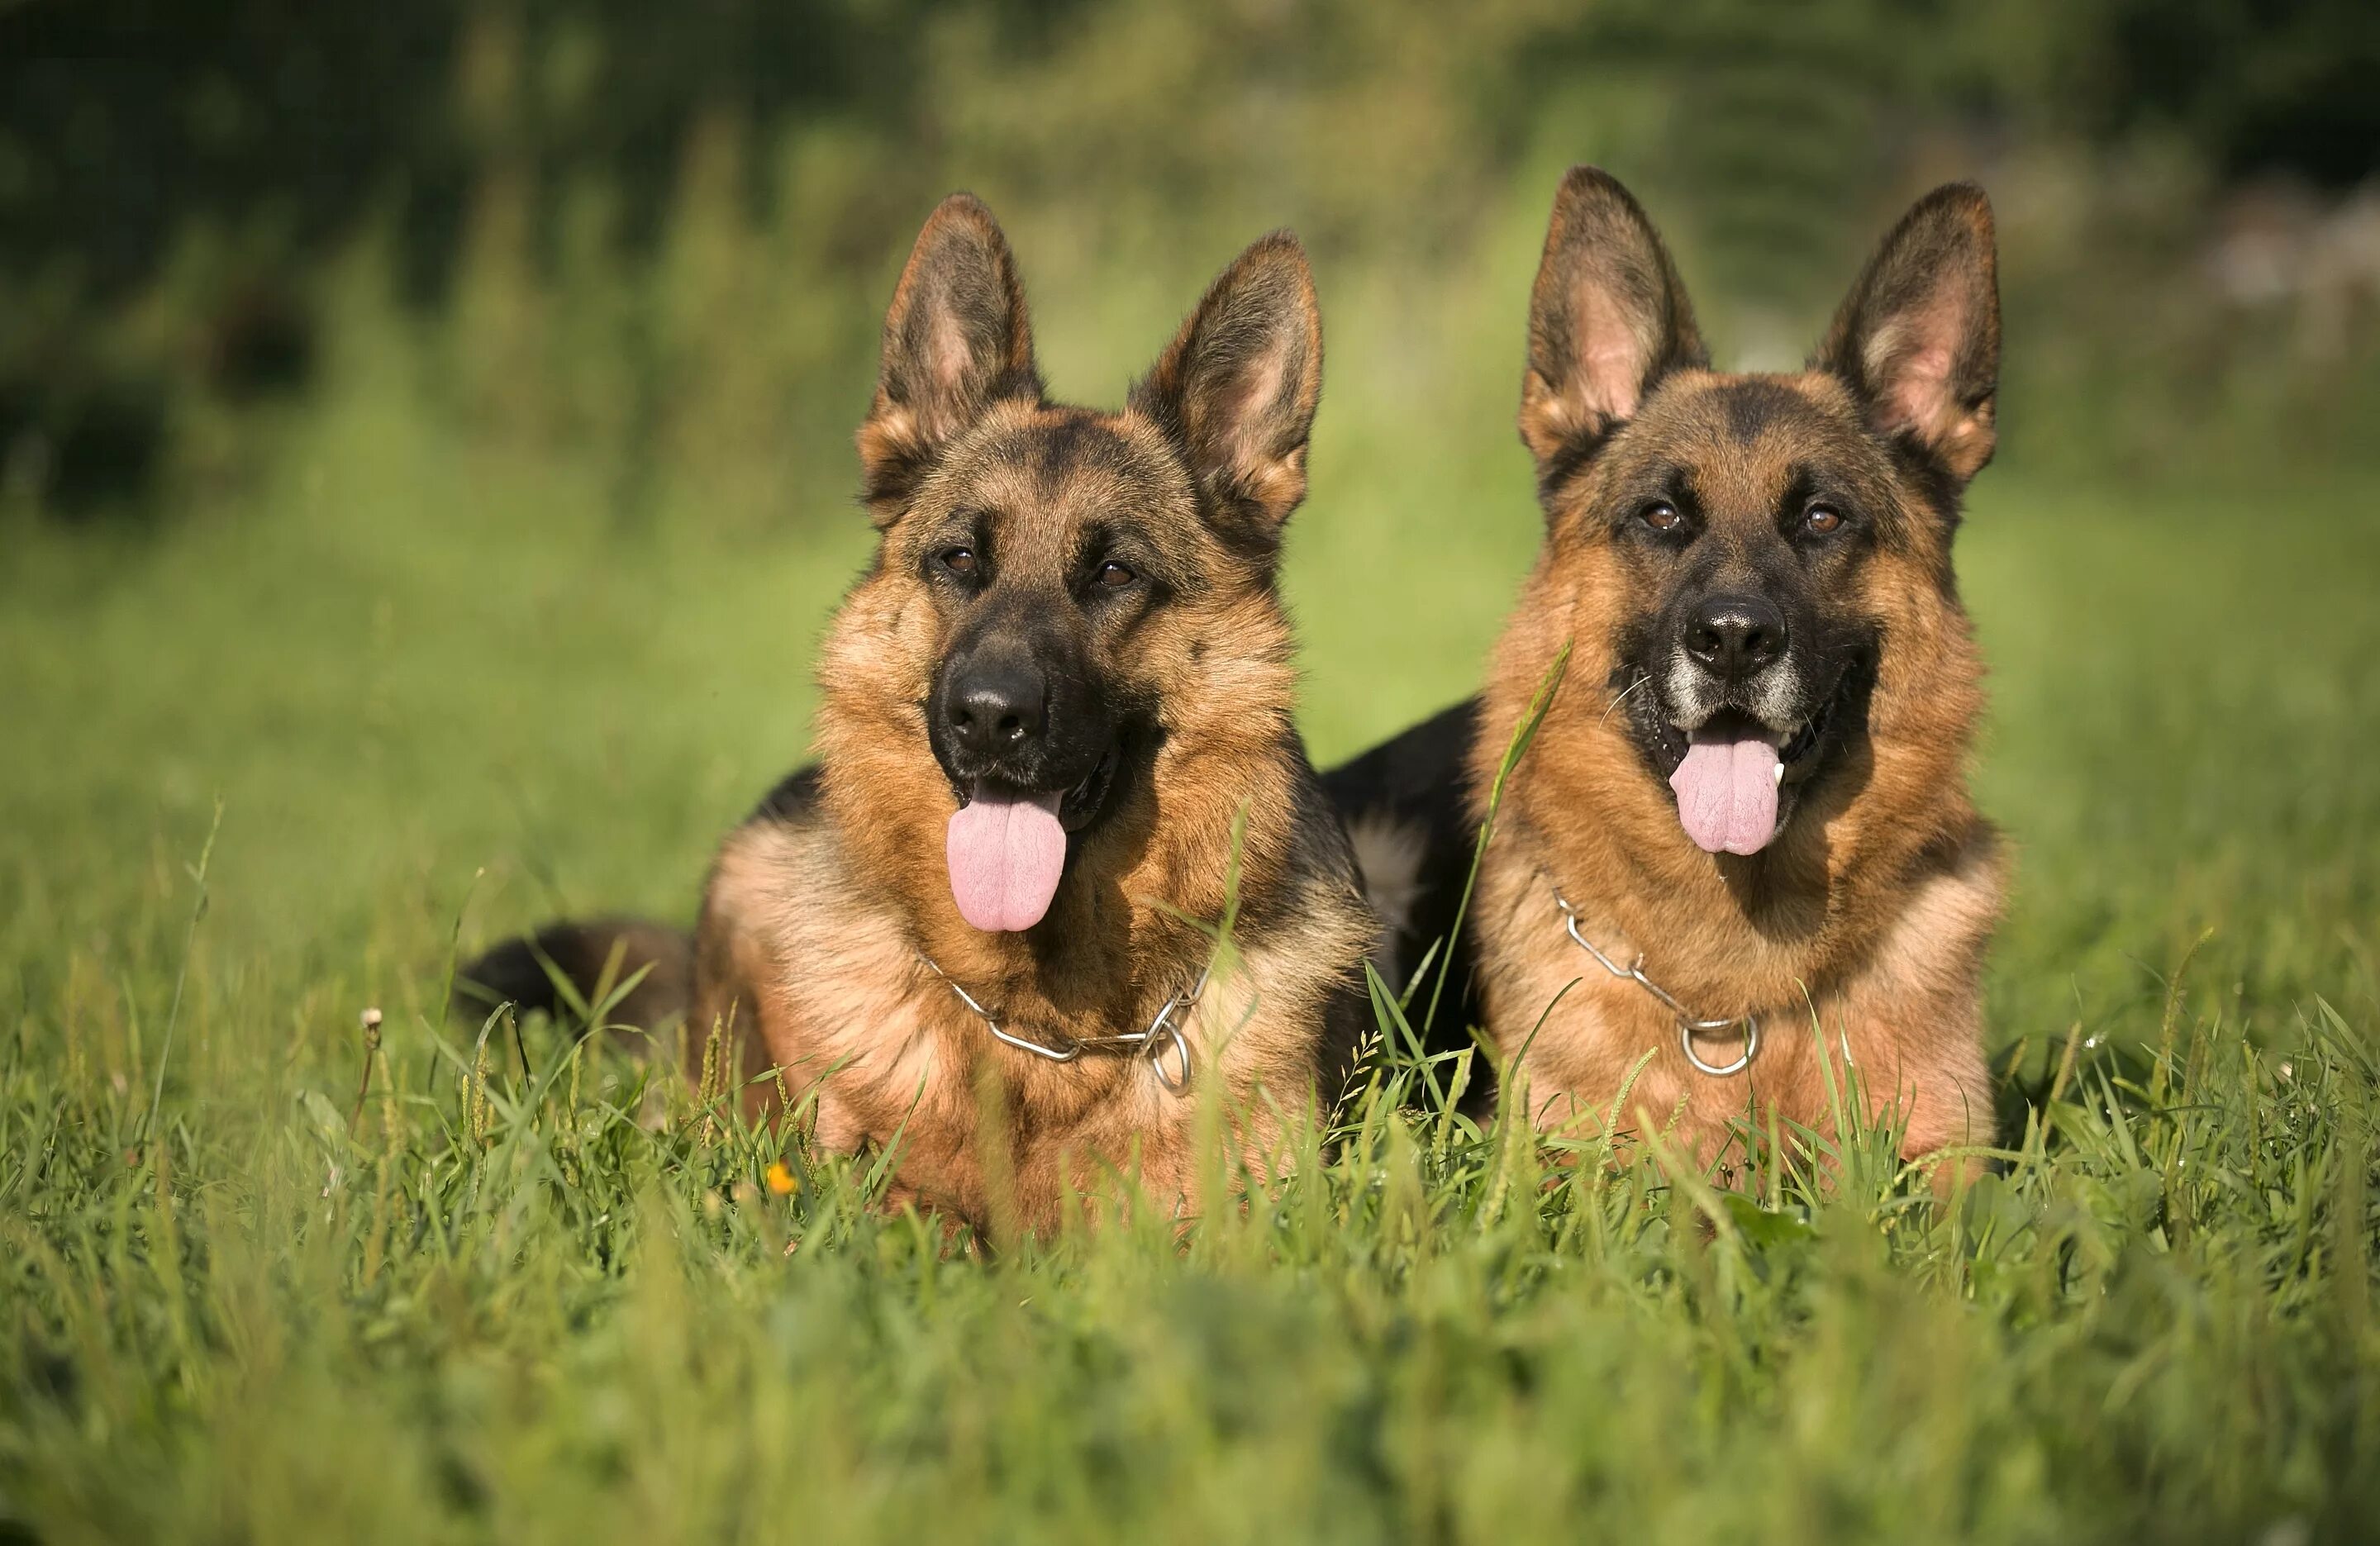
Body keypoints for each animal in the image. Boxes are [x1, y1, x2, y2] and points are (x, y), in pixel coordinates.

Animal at [459, 193, 1380, 1236]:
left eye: (1114, 573)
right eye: (959, 560)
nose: (988, 716)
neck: (1047, 1026)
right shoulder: (853, 1187)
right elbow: (917, 1217)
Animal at [1342, 171, 2008, 1179]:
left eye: (1821, 518)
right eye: (1662, 515)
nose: (1732, 639)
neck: (1735, 998)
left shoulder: (1951, 1155)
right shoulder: (1562, 1158)